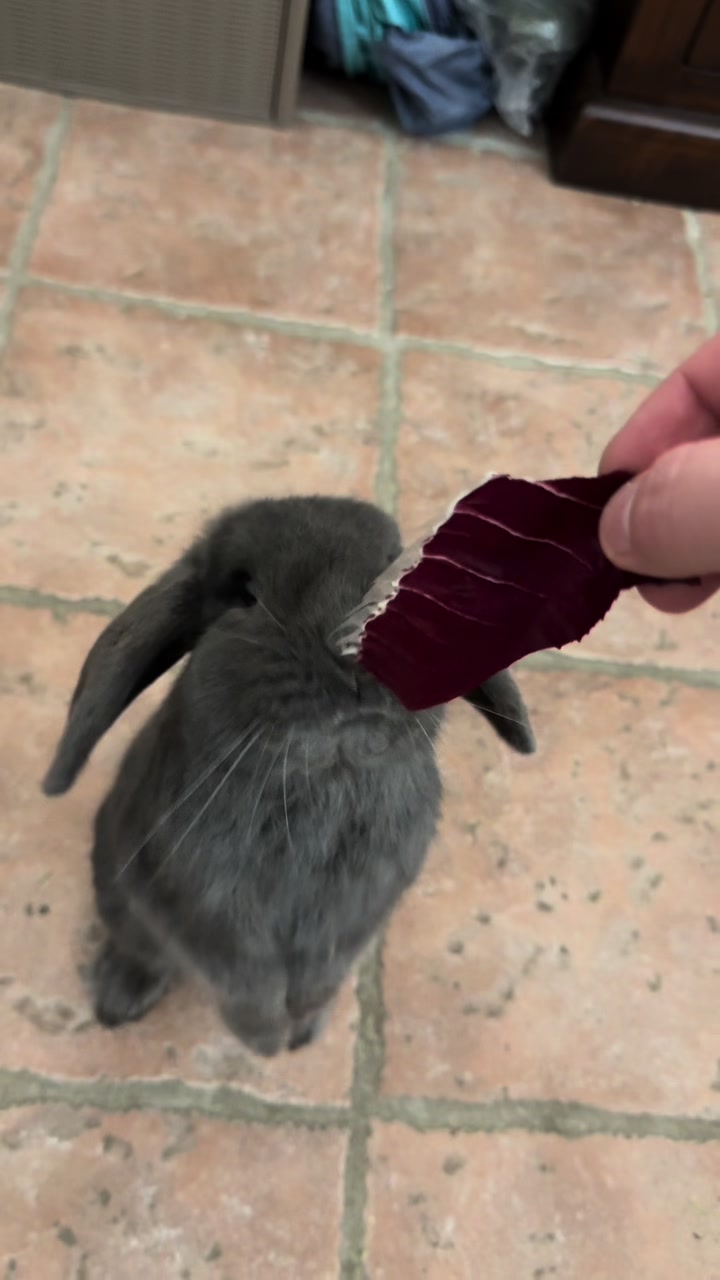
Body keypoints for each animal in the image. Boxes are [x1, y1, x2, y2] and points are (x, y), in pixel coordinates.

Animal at [43, 495, 535, 1057]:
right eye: (244, 593)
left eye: (401, 580)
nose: (353, 645)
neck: (323, 789)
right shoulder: (203, 920)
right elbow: (247, 988)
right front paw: (265, 1043)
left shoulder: (352, 924)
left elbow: (319, 981)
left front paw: (302, 1033)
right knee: (136, 946)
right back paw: (117, 1000)